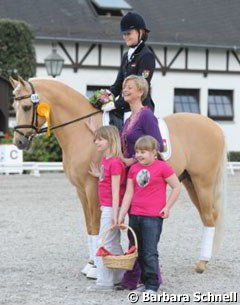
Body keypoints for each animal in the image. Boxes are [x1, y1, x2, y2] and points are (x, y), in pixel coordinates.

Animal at [10, 76, 226, 276]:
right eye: (14, 106)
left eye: (27, 107)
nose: (19, 142)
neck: (83, 131)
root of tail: (214, 126)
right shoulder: (80, 190)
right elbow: (88, 226)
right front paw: (90, 264)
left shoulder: (92, 188)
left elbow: (95, 225)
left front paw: (95, 268)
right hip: (189, 182)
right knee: (209, 216)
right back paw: (204, 260)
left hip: (203, 182)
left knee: (209, 217)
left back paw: (201, 264)